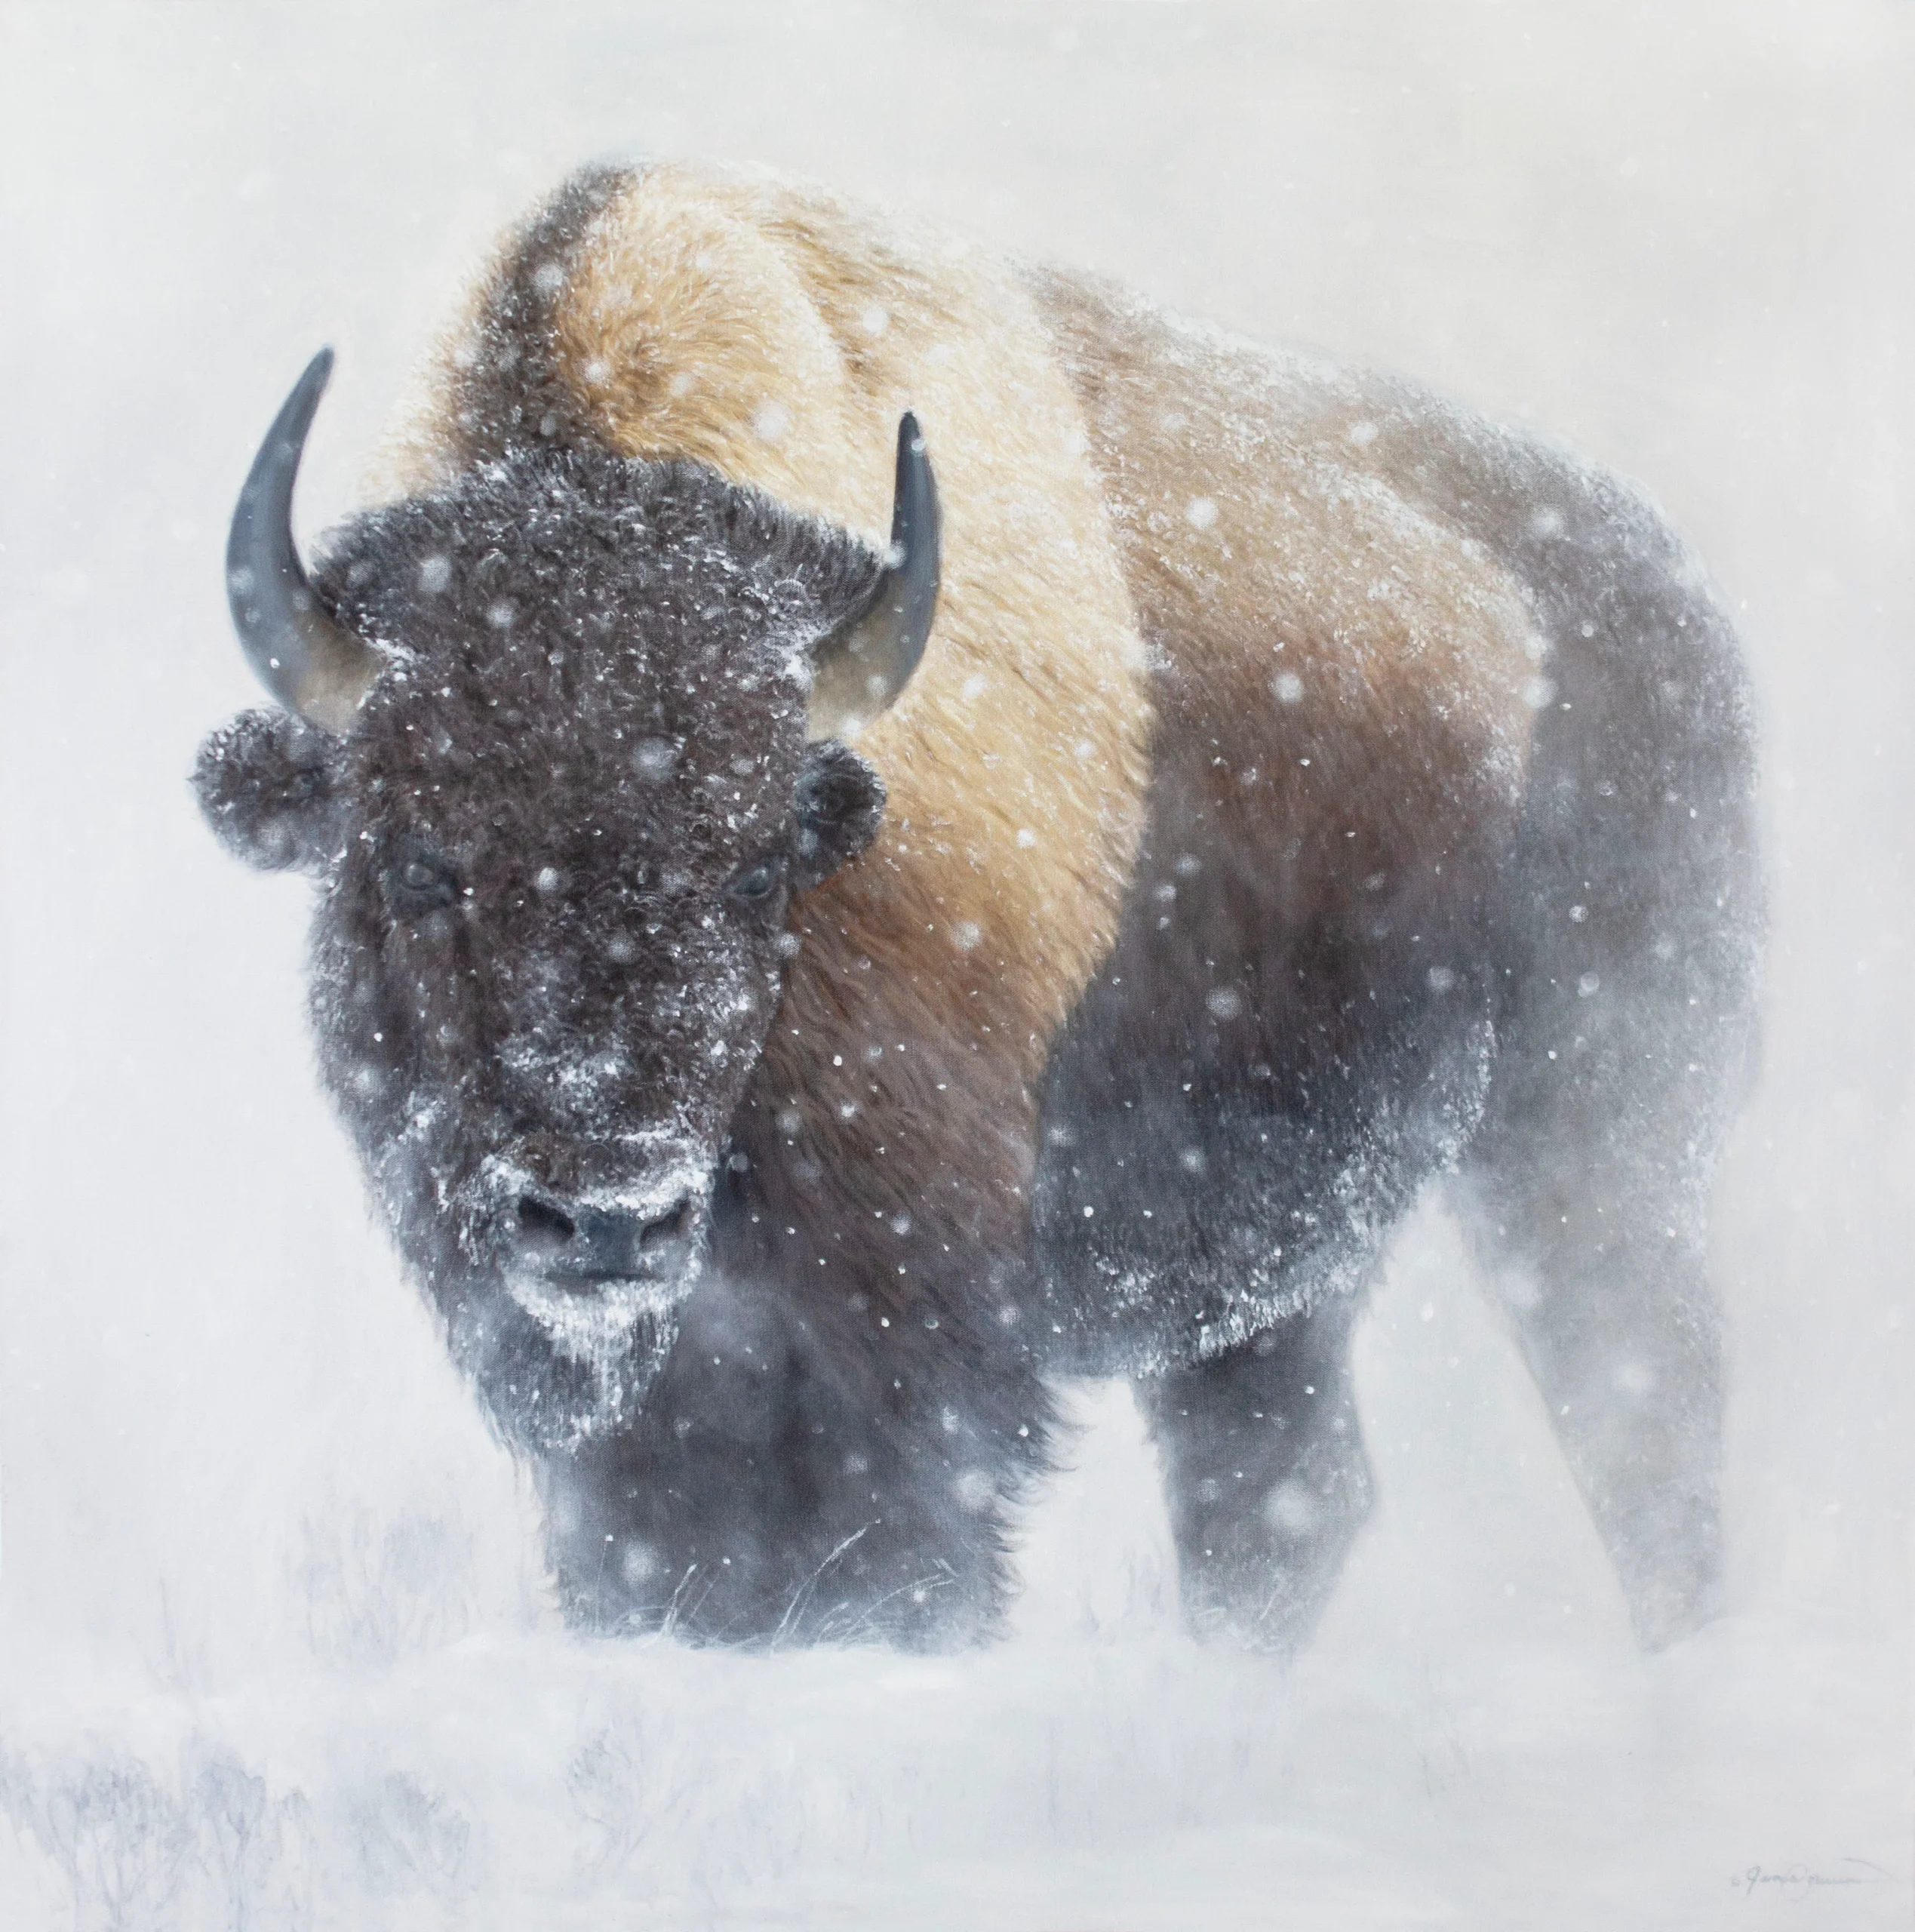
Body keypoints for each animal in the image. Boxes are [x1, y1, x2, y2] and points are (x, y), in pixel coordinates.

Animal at [196, 162, 1760, 1652]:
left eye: (757, 865)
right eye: (415, 861)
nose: (604, 1217)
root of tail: (1661, 590)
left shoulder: (912, 1334)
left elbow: (904, 1557)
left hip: (1595, 1147)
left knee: (1646, 1445)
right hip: (1272, 1271)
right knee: (1282, 1502)